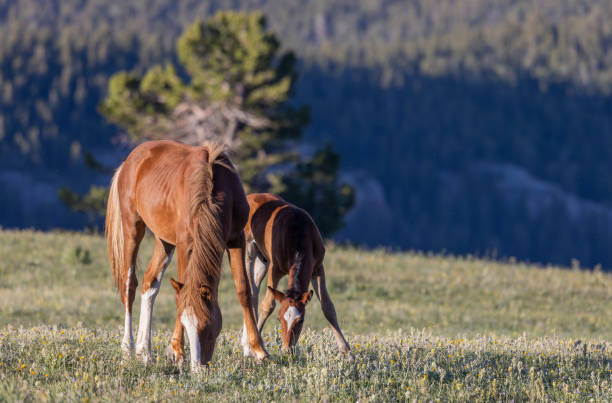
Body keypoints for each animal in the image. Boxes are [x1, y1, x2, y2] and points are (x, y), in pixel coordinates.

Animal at [105, 140, 268, 370]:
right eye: (186, 324)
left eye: (208, 327)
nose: (197, 368)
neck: (211, 192)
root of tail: (130, 161)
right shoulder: (185, 244)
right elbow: (180, 294)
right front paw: (177, 353)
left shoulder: (236, 239)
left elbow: (243, 290)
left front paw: (259, 351)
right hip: (132, 229)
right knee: (129, 284)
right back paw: (127, 350)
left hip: (164, 241)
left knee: (149, 283)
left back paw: (144, 352)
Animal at [240, 194, 354, 358]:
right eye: (279, 318)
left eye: (300, 321)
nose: (287, 350)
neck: (298, 232)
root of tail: (250, 196)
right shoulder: (275, 269)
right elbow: (268, 305)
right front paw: (255, 350)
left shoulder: (318, 268)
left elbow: (328, 307)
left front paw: (347, 353)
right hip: (249, 251)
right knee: (251, 291)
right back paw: (247, 346)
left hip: (263, 260)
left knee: (254, 288)